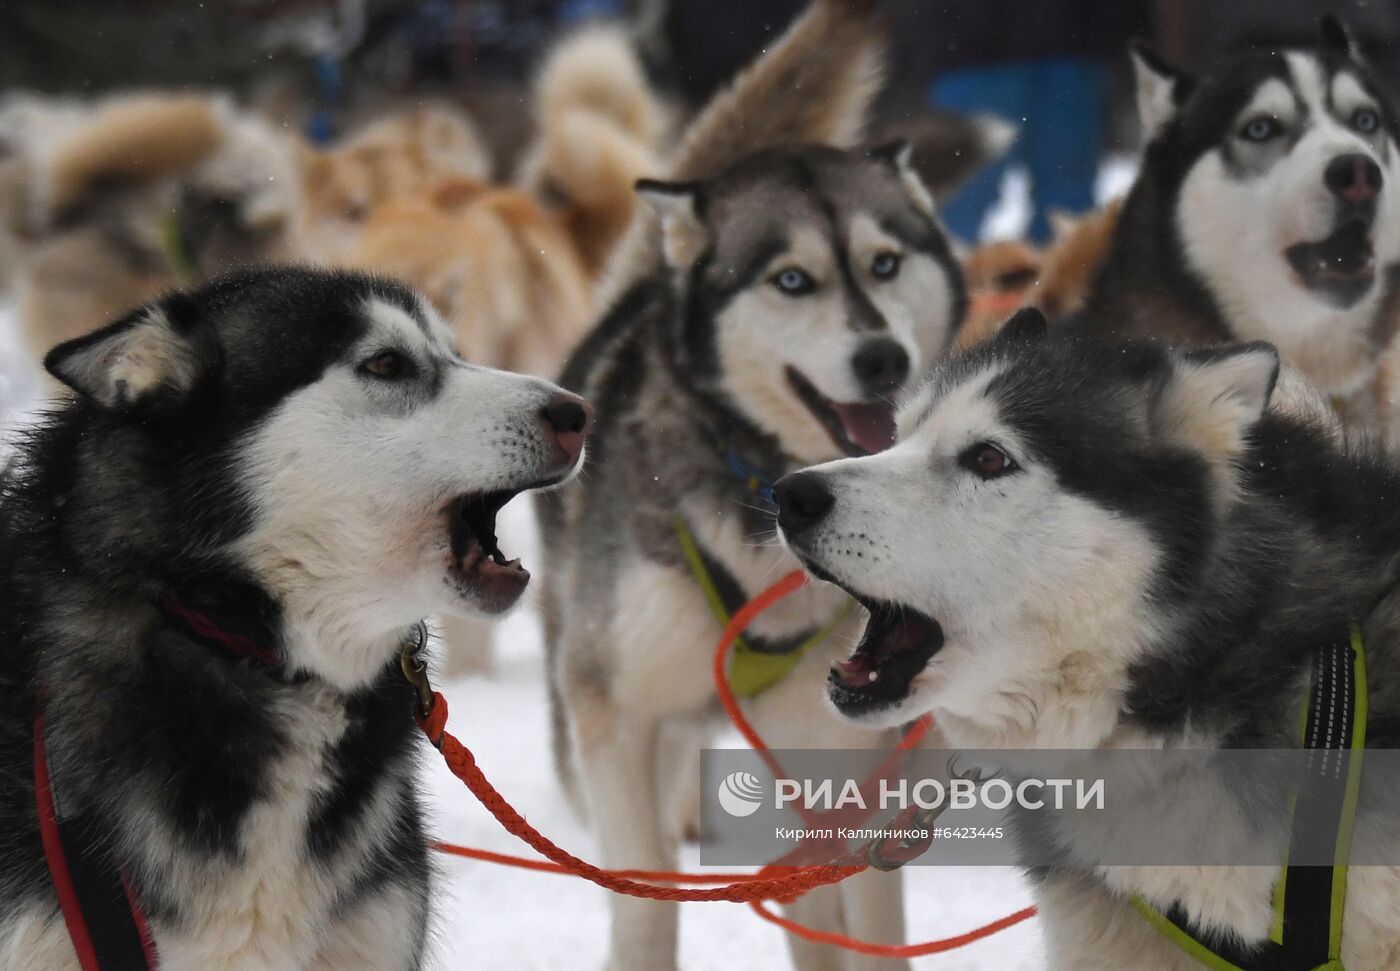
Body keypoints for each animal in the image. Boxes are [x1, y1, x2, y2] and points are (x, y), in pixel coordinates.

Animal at [534, 0, 963, 968]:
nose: (883, 357)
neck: (765, 488)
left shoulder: (847, 750)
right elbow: (646, 896)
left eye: (886, 263)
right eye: (791, 279)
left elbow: (860, 915)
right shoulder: (615, 712)